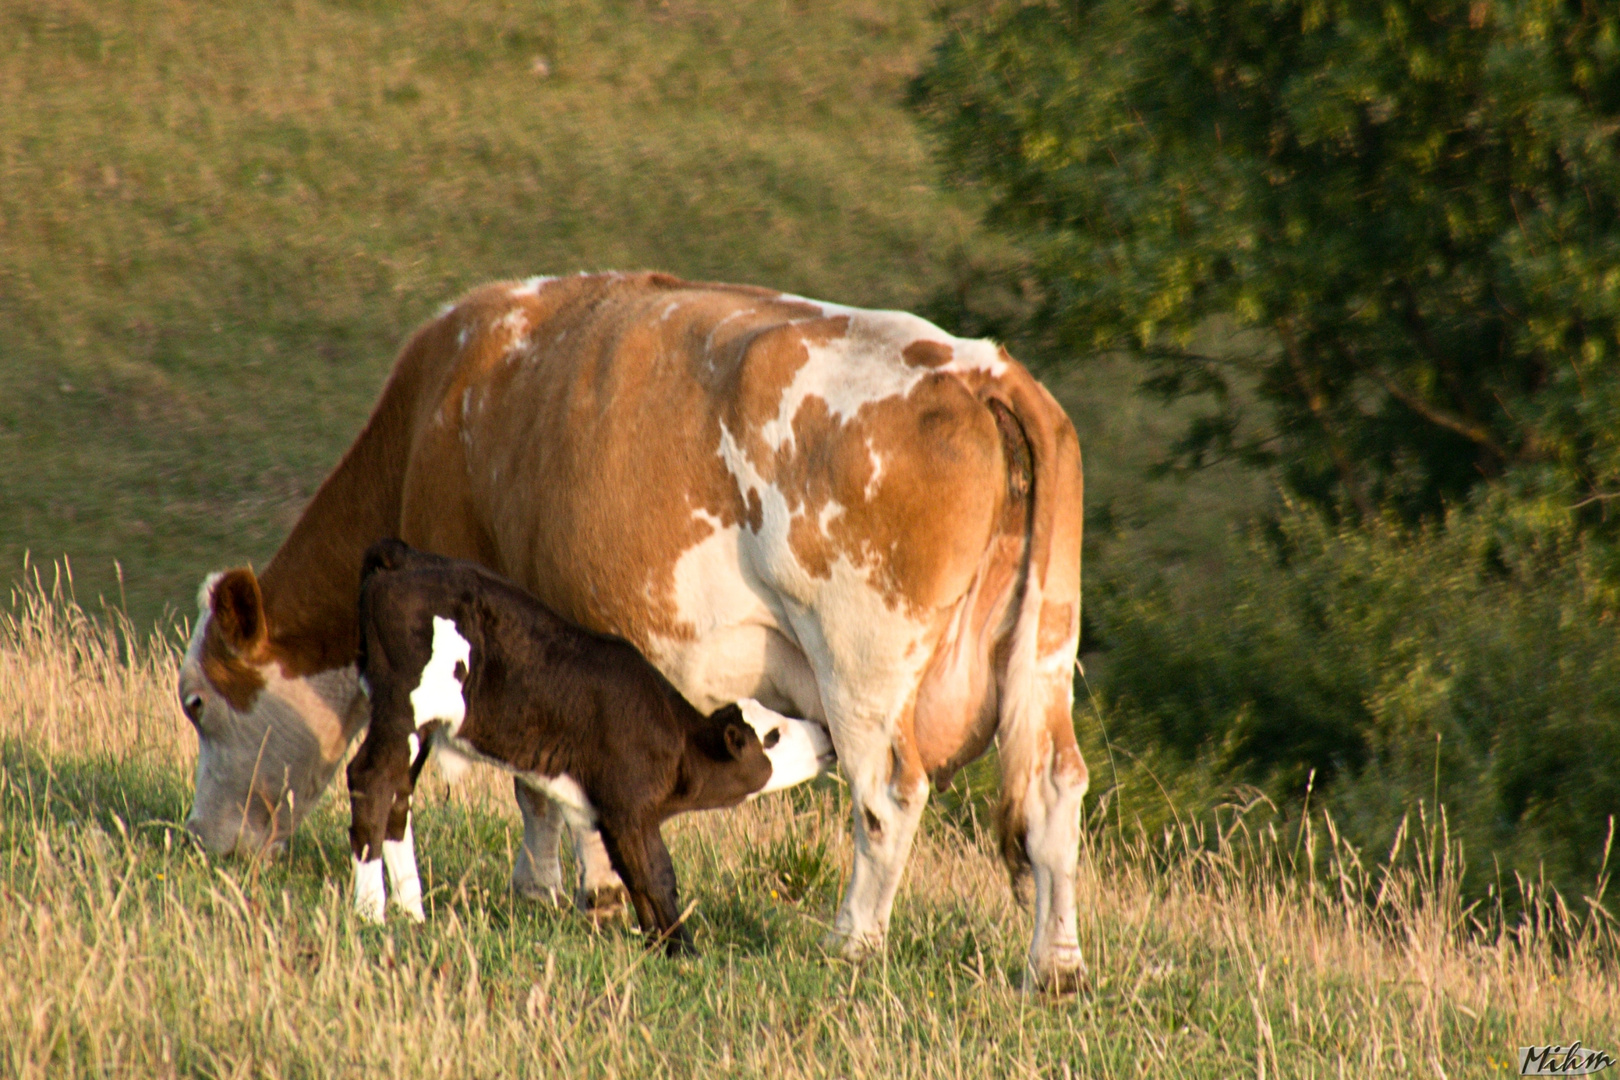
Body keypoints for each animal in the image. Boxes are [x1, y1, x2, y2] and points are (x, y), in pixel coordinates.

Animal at [356, 537, 835, 952]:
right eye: (774, 735)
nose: (825, 732)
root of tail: (405, 555)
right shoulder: (629, 806)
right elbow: (656, 872)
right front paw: (683, 949)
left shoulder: (601, 809)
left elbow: (632, 873)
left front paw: (656, 944)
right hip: (401, 707)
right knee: (371, 782)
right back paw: (369, 913)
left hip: (418, 728)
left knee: (399, 799)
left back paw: (412, 913)